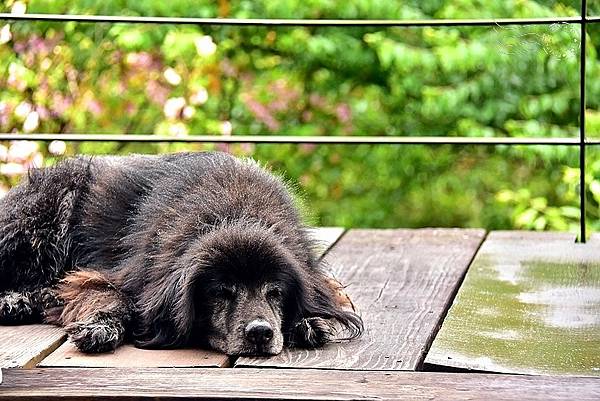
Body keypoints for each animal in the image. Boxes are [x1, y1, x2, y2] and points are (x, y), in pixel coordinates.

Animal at [0, 152, 360, 354]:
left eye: (276, 292)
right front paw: (100, 327)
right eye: (220, 292)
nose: (260, 332)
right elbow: (109, 297)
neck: (236, 215)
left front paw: (309, 322)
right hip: (43, 216)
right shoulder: (115, 276)